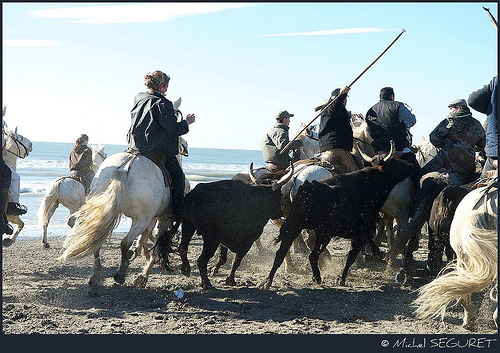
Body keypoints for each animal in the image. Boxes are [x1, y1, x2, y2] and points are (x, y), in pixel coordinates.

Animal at [58, 138, 189, 292]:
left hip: (106, 213)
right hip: (141, 220)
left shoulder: (153, 218)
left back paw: (96, 277)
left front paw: (138, 253)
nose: (186, 149)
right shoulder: (162, 219)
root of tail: (122, 170)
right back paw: (121, 273)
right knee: (125, 242)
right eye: (181, 142)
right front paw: (143, 275)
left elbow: (146, 238)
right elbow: (155, 245)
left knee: (98, 240)